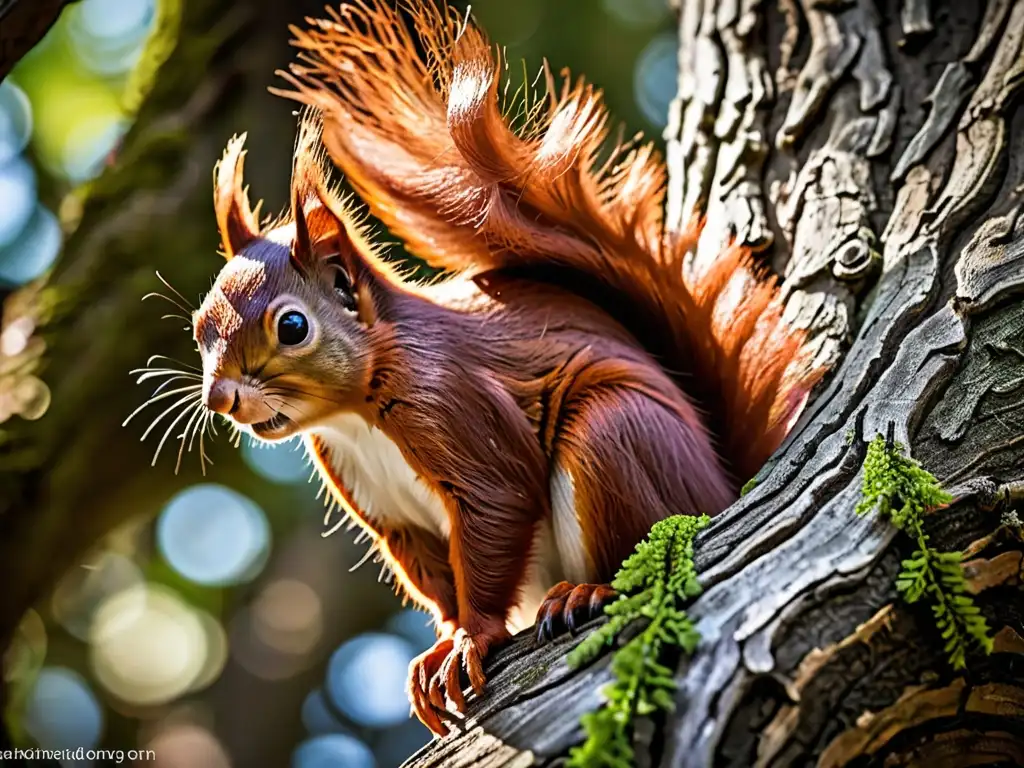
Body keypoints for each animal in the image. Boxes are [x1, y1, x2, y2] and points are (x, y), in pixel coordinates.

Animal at [186, 0, 821, 736]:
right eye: (199, 326)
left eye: (291, 327)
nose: (221, 398)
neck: (356, 412)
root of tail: (725, 482)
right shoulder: (389, 510)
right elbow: (433, 576)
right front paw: (443, 639)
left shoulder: (454, 404)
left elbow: (500, 503)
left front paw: (472, 638)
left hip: (618, 434)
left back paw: (588, 588)